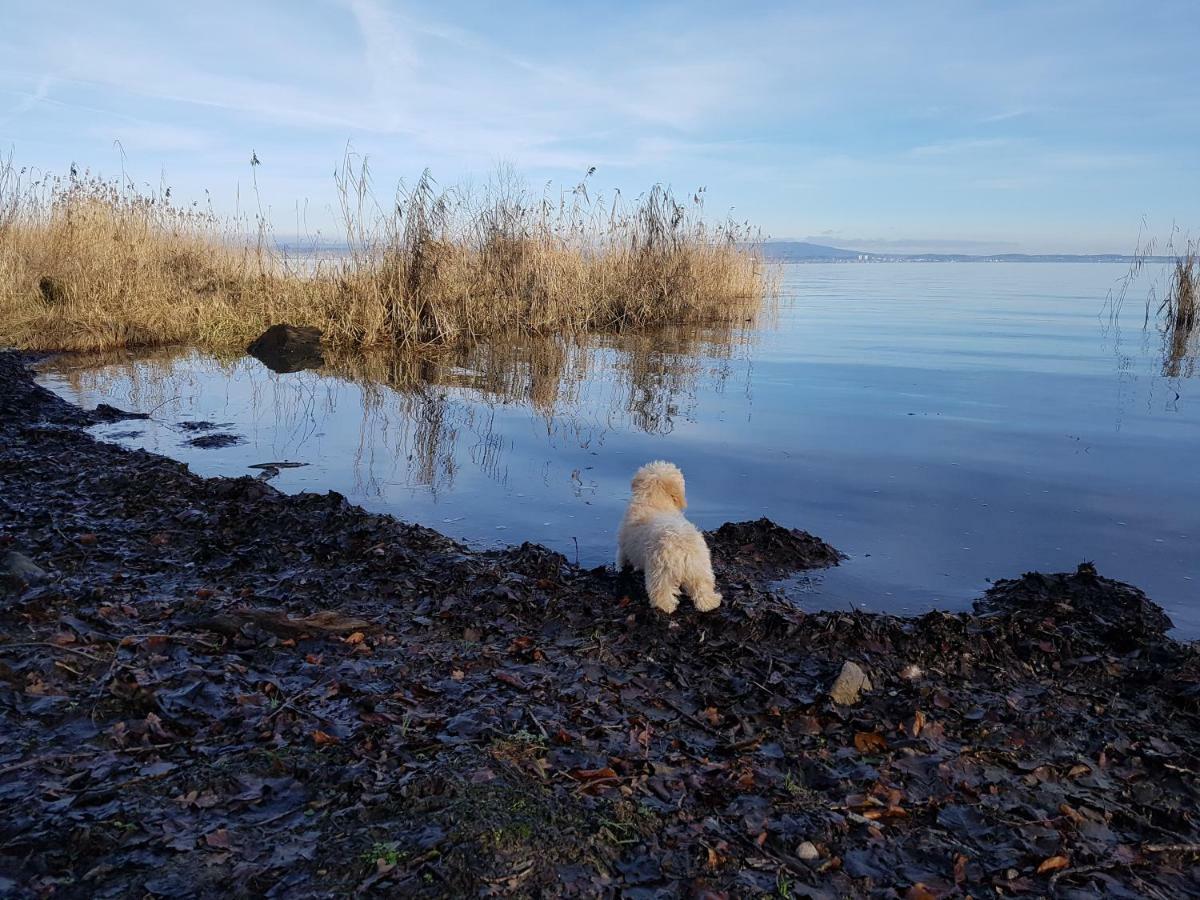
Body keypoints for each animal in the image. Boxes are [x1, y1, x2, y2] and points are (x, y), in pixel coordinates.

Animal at [614, 460, 715, 619]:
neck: (655, 499)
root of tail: (683, 547)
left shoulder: (624, 546)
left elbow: (621, 558)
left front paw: (620, 568)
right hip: (700, 569)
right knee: (703, 589)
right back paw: (709, 604)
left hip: (661, 572)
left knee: (662, 594)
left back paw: (663, 608)